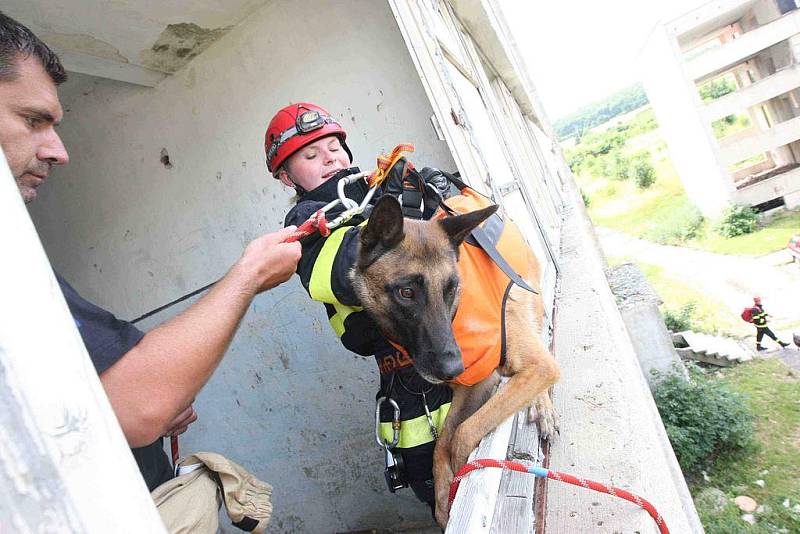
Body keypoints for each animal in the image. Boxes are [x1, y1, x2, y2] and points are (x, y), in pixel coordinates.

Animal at [354, 196, 560, 528]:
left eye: (452, 288)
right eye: (406, 292)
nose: (453, 369)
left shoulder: (532, 368)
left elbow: (463, 434)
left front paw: (461, 477)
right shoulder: (474, 383)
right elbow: (442, 442)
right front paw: (443, 497)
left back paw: (543, 409)